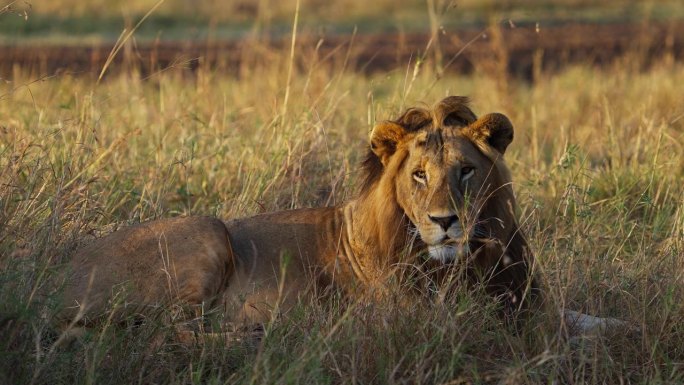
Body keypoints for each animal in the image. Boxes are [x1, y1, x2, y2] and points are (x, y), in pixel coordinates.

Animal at [57, 95, 616, 332]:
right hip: (207, 230)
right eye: (419, 175)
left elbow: (593, 320)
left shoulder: (524, 300)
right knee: (171, 329)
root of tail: (61, 271)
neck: (463, 262)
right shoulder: (414, 314)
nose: (444, 222)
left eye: (465, 172)